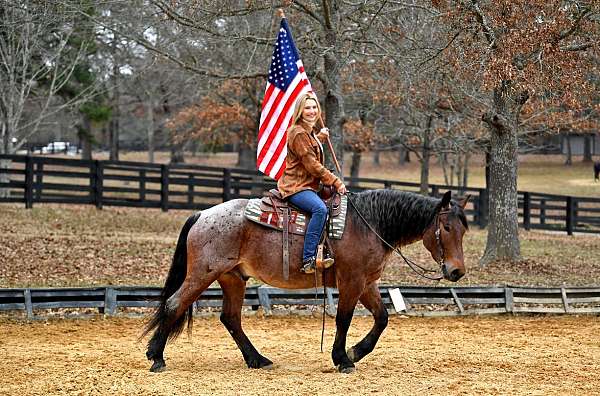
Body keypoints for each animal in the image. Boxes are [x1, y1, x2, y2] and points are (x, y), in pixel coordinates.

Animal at [144, 190, 468, 372]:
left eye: (463, 230)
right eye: (446, 227)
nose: (456, 271)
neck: (368, 224)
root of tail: (202, 214)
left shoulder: (367, 283)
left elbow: (382, 318)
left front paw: (356, 351)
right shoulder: (351, 281)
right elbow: (344, 319)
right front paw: (343, 359)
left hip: (233, 278)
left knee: (231, 318)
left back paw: (257, 359)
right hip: (203, 273)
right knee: (174, 304)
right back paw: (157, 358)